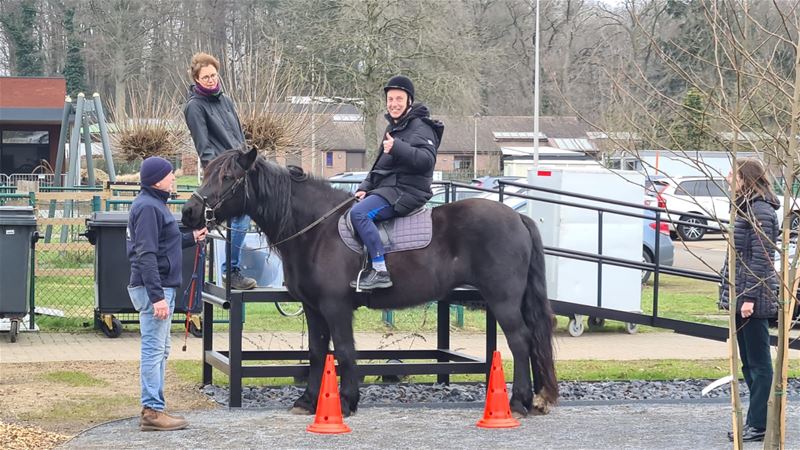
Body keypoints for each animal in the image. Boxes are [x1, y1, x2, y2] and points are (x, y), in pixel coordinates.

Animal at [182, 149, 560, 418]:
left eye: (228, 176)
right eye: (208, 172)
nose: (188, 213)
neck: (316, 230)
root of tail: (518, 217)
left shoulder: (336, 307)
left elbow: (345, 351)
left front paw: (346, 401)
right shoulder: (313, 308)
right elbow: (317, 352)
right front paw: (307, 400)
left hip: (502, 299)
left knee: (521, 341)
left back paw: (519, 402)